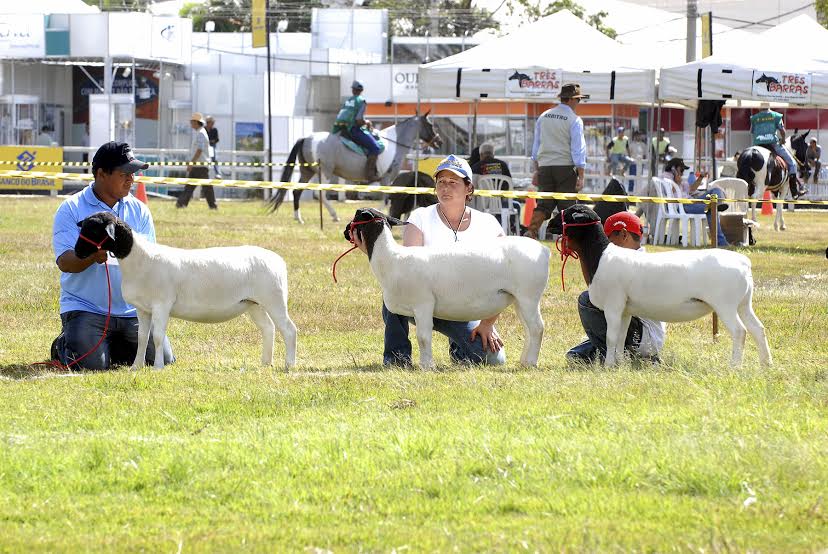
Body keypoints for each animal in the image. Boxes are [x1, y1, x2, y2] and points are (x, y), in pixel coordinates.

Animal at [74, 211, 297, 370]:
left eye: (94, 230)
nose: (77, 252)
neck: (140, 258)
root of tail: (279, 260)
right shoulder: (143, 309)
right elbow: (142, 337)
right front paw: (136, 367)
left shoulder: (162, 304)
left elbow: (157, 336)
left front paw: (157, 367)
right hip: (253, 303)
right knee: (269, 328)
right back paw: (265, 363)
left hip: (273, 298)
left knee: (289, 329)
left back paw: (289, 365)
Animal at [268, 113, 441, 223]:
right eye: (430, 124)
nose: (438, 141)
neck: (394, 143)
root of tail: (307, 138)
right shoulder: (387, 178)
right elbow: (385, 198)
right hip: (325, 172)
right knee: (320, 194)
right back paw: (334, 215)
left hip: (307, 172)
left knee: (297, 192)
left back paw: (298, 217)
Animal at [341, 208, 550, 367]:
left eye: (356, 216)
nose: (344, 232)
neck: (392, 259)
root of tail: (544, 250)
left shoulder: (423, 304)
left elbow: (423, 337)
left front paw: (427, 366)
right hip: (519, 299)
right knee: (529, 329)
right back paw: (524, 361)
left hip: (529, 296)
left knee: (537, 328)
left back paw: (531, 363)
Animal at [559, 204, 772, 367]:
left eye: (568, 214)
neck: (600, 256)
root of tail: (743, 262)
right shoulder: (625, 310)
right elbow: (619, 338)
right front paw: (619, 364)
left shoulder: (613, 305)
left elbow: (611, 337)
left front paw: (608, 365)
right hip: (743, 303)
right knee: (758, 329)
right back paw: (766, 364)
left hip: (725, 304)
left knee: (740, 331)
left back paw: (735, 366)